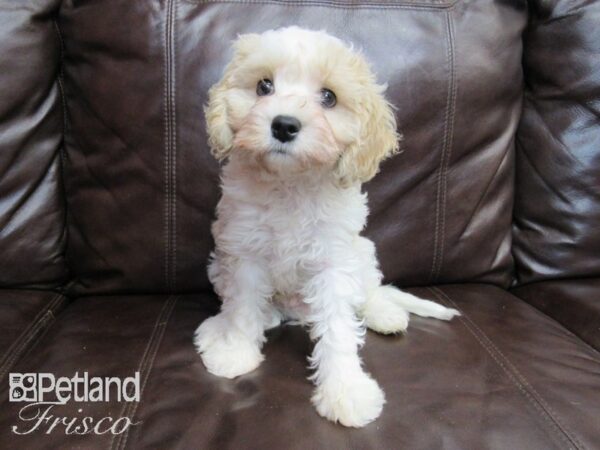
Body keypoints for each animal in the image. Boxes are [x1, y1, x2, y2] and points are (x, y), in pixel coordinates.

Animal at [195, 26, 458, 428]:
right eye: (263, 86)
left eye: (329, 97)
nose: (284, 125)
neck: (290, 184)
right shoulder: (244, 252)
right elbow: (242, 309)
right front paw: (235, 350)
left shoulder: (334, 262)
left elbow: (339, 330)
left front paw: (346, 391)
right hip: (219, 263)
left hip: (362, 253)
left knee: (370, 292)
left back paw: (385, 313)